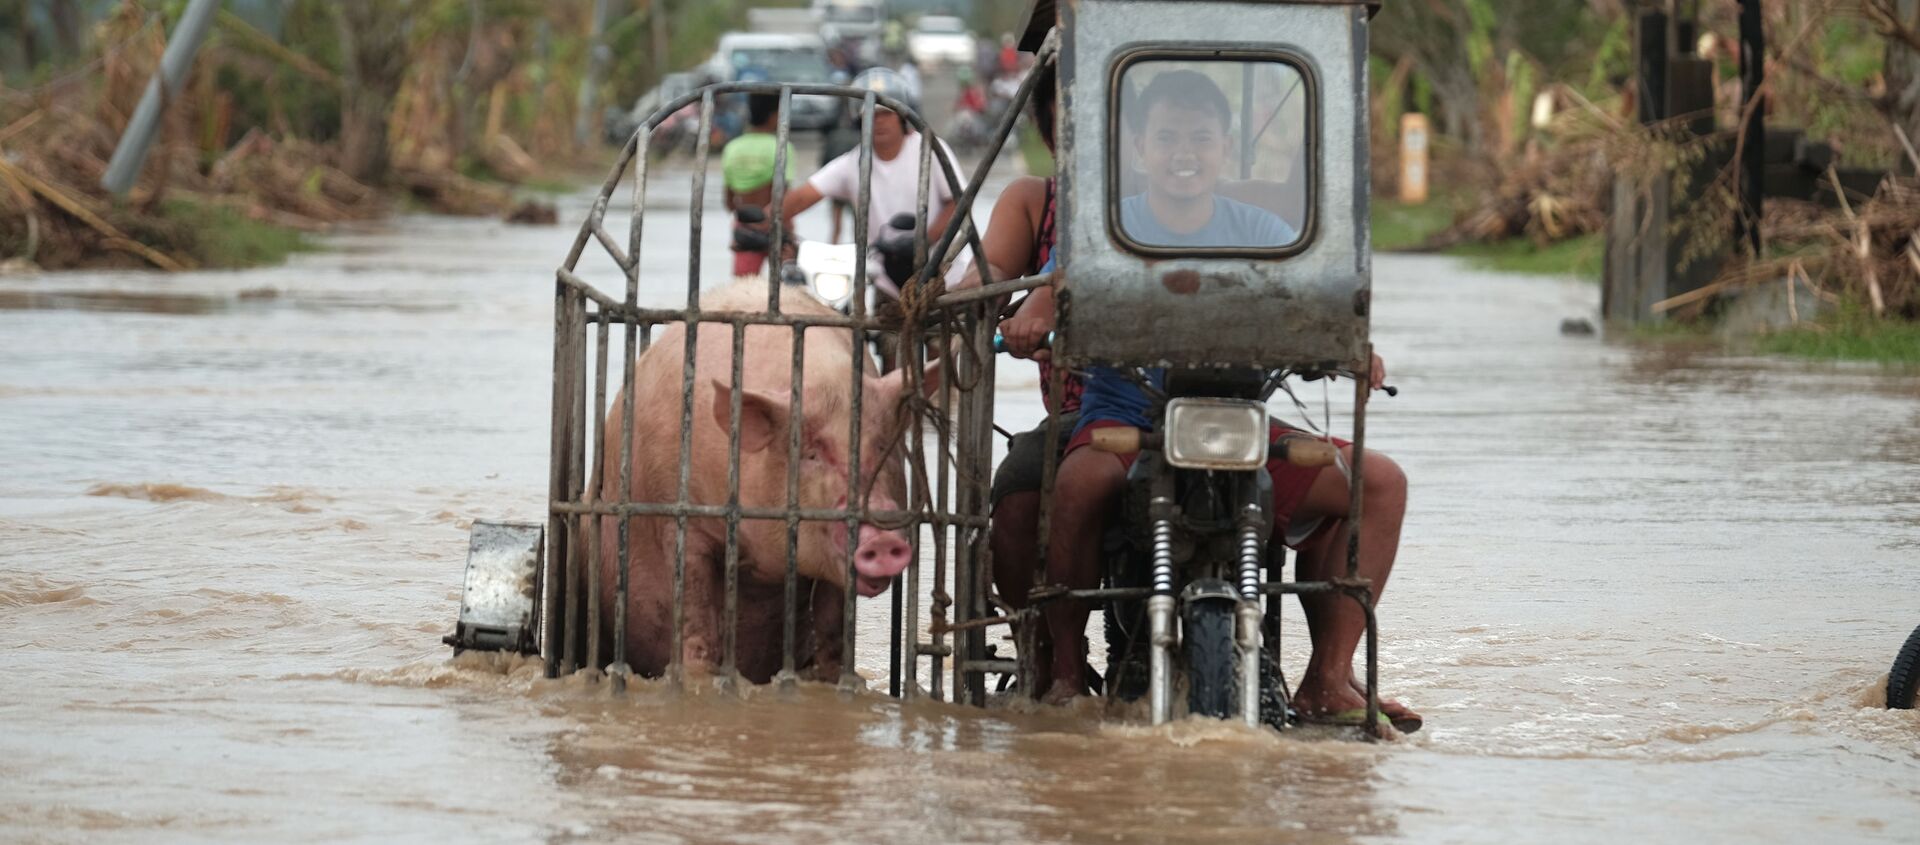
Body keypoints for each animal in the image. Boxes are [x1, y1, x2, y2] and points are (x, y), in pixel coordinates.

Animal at [595, 276, 933, 679]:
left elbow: (832, 627)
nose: (882, 538)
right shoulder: (678, 516)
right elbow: (695, 609)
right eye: (810, 453)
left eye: (883, 446)